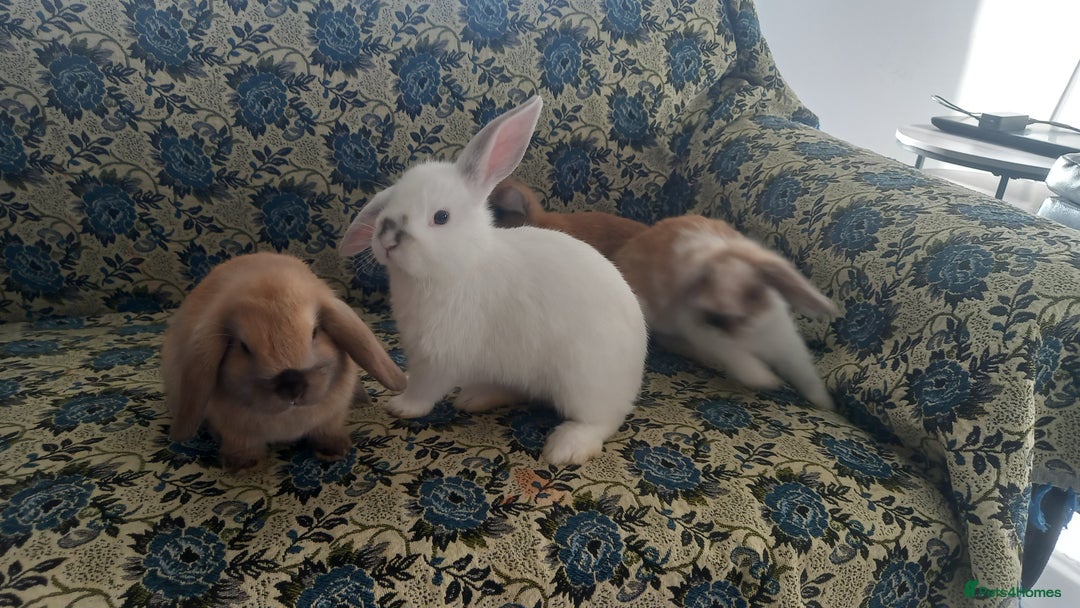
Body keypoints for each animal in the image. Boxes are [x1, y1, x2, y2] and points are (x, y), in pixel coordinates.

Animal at [161, 252, 407, 471]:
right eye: (244, 347)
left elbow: (328, 431)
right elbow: (241, 443)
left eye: (315, 332)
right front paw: (241, 464)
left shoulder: (332, 417)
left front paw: (335, 451)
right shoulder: (234, 429)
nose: (292, 386)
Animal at [613, 214, 837, 411]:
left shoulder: (787, 346)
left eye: (754, 293)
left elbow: (805, 375)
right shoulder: (713, 339)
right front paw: (767, 380)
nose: (722, 323)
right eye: (714, 317)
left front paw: (825, 404)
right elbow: (742, 361)